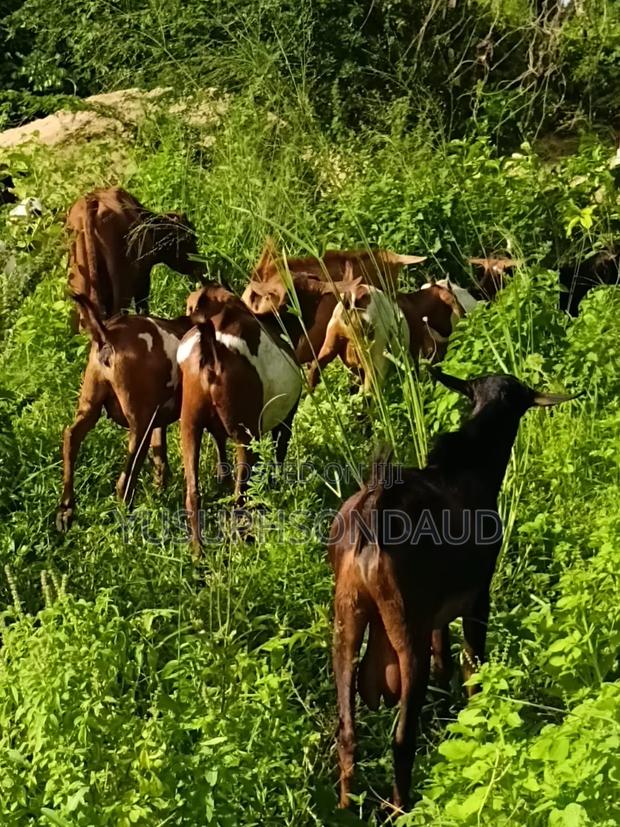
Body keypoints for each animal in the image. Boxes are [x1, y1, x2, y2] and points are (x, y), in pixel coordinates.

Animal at [56, 294, 192, 531]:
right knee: (124, 482)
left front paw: (161, 490)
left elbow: (160, 455)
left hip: (91, 404)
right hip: (140, 424)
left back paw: (65, 510)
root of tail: (106, 335)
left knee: (71, 437)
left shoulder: (159, 419)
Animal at [177, 285, 303, 553]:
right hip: (247, 436)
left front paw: (221, 477)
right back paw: (241, 543)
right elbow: (279, 453)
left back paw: (198, 552)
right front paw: (276, 484)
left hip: (189, 424)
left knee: (193, 492)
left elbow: (218, 442)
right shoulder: (286, 420)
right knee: (240, 495)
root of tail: (213, 350)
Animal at [329, 368, 577, 810]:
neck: (469, 467)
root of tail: (371, 515)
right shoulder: (479, 595)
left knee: (346, 730)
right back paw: (401, 808)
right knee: (402, 736)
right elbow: (473, 665)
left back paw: (346, 807)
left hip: (346, 619)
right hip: (405, 628)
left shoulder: (438, 612)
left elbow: (446, 656)